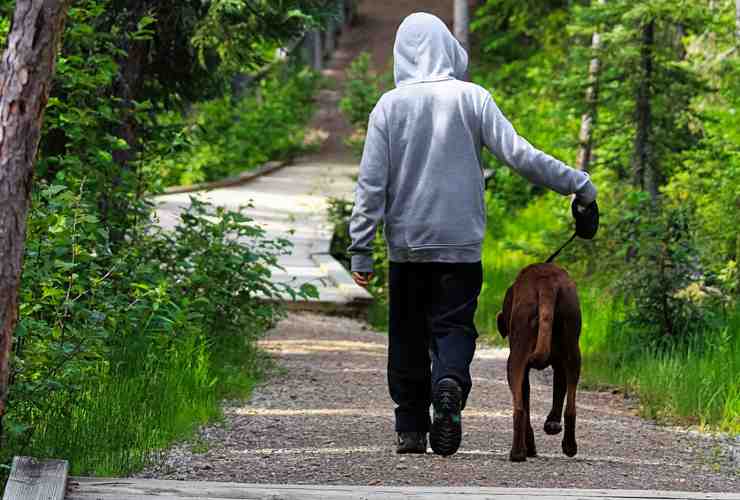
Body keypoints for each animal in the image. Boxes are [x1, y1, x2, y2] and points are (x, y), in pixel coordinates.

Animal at [500, 264, 580, 462]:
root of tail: (546, 282)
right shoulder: (559, 365)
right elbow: (558, 391)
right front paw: (552, 424)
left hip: (515, 357)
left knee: (519, 409)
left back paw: (518, 452)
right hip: (573, 349)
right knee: (570, 406)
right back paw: (568, 445)